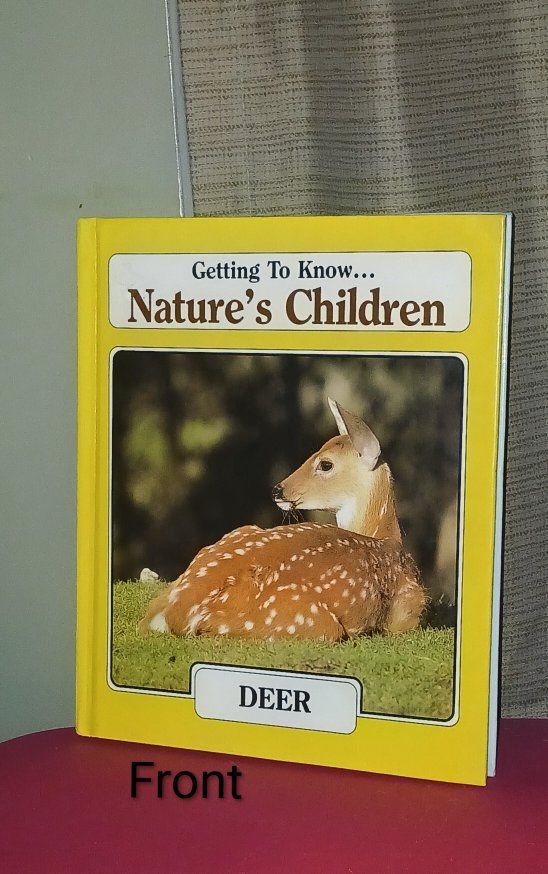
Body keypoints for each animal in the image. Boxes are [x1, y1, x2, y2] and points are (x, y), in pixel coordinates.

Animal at [139, 399, 426, 641]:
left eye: (325, 464)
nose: (278, 490)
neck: (384, 536)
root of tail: (173, 611)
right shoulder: (409, 609)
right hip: (309, 622)